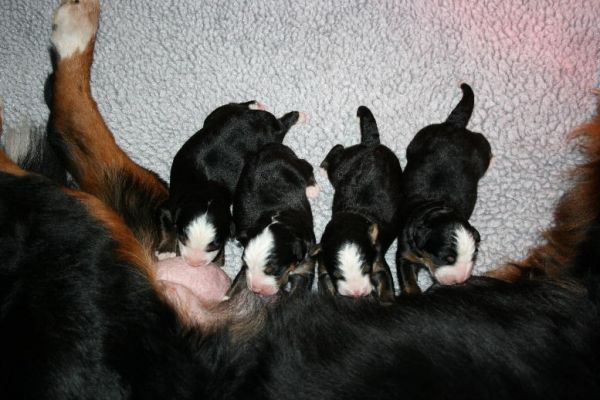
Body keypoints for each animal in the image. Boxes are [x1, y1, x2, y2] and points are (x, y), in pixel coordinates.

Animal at [164, 101, 302, 268]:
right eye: (183, 238)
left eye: (214, 245)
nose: (194, 263)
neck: (207, 188)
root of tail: (258, 118)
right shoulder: (171, 207)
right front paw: (165, 252)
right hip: (219, 114)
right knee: (236, 105)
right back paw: (255, 105)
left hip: (272, 137)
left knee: (282, 125)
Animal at [229, 144, 322, 296]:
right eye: (245, 264)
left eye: (273, 270)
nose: (256, 289)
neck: (278, 217)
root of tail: (273, 147)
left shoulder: (307, 262)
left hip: (294, 166)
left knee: (306, 166)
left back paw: (312, 188)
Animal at [318, 106, 404, 300]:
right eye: (338, 275)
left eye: (365, 269)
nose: (357, 293)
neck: (351, 219)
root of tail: (371, 144)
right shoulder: (324, 263)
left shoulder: (377, 259)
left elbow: (386, 282)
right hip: (343, 167)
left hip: (345, 163)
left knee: (338, 150)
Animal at [396, 83, 490, 296]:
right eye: (447, 258)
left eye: (474, 256)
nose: (459, 281)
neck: (436, 209)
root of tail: (454, 126)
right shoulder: (405, 252)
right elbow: (407, 279)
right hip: (422, 137)